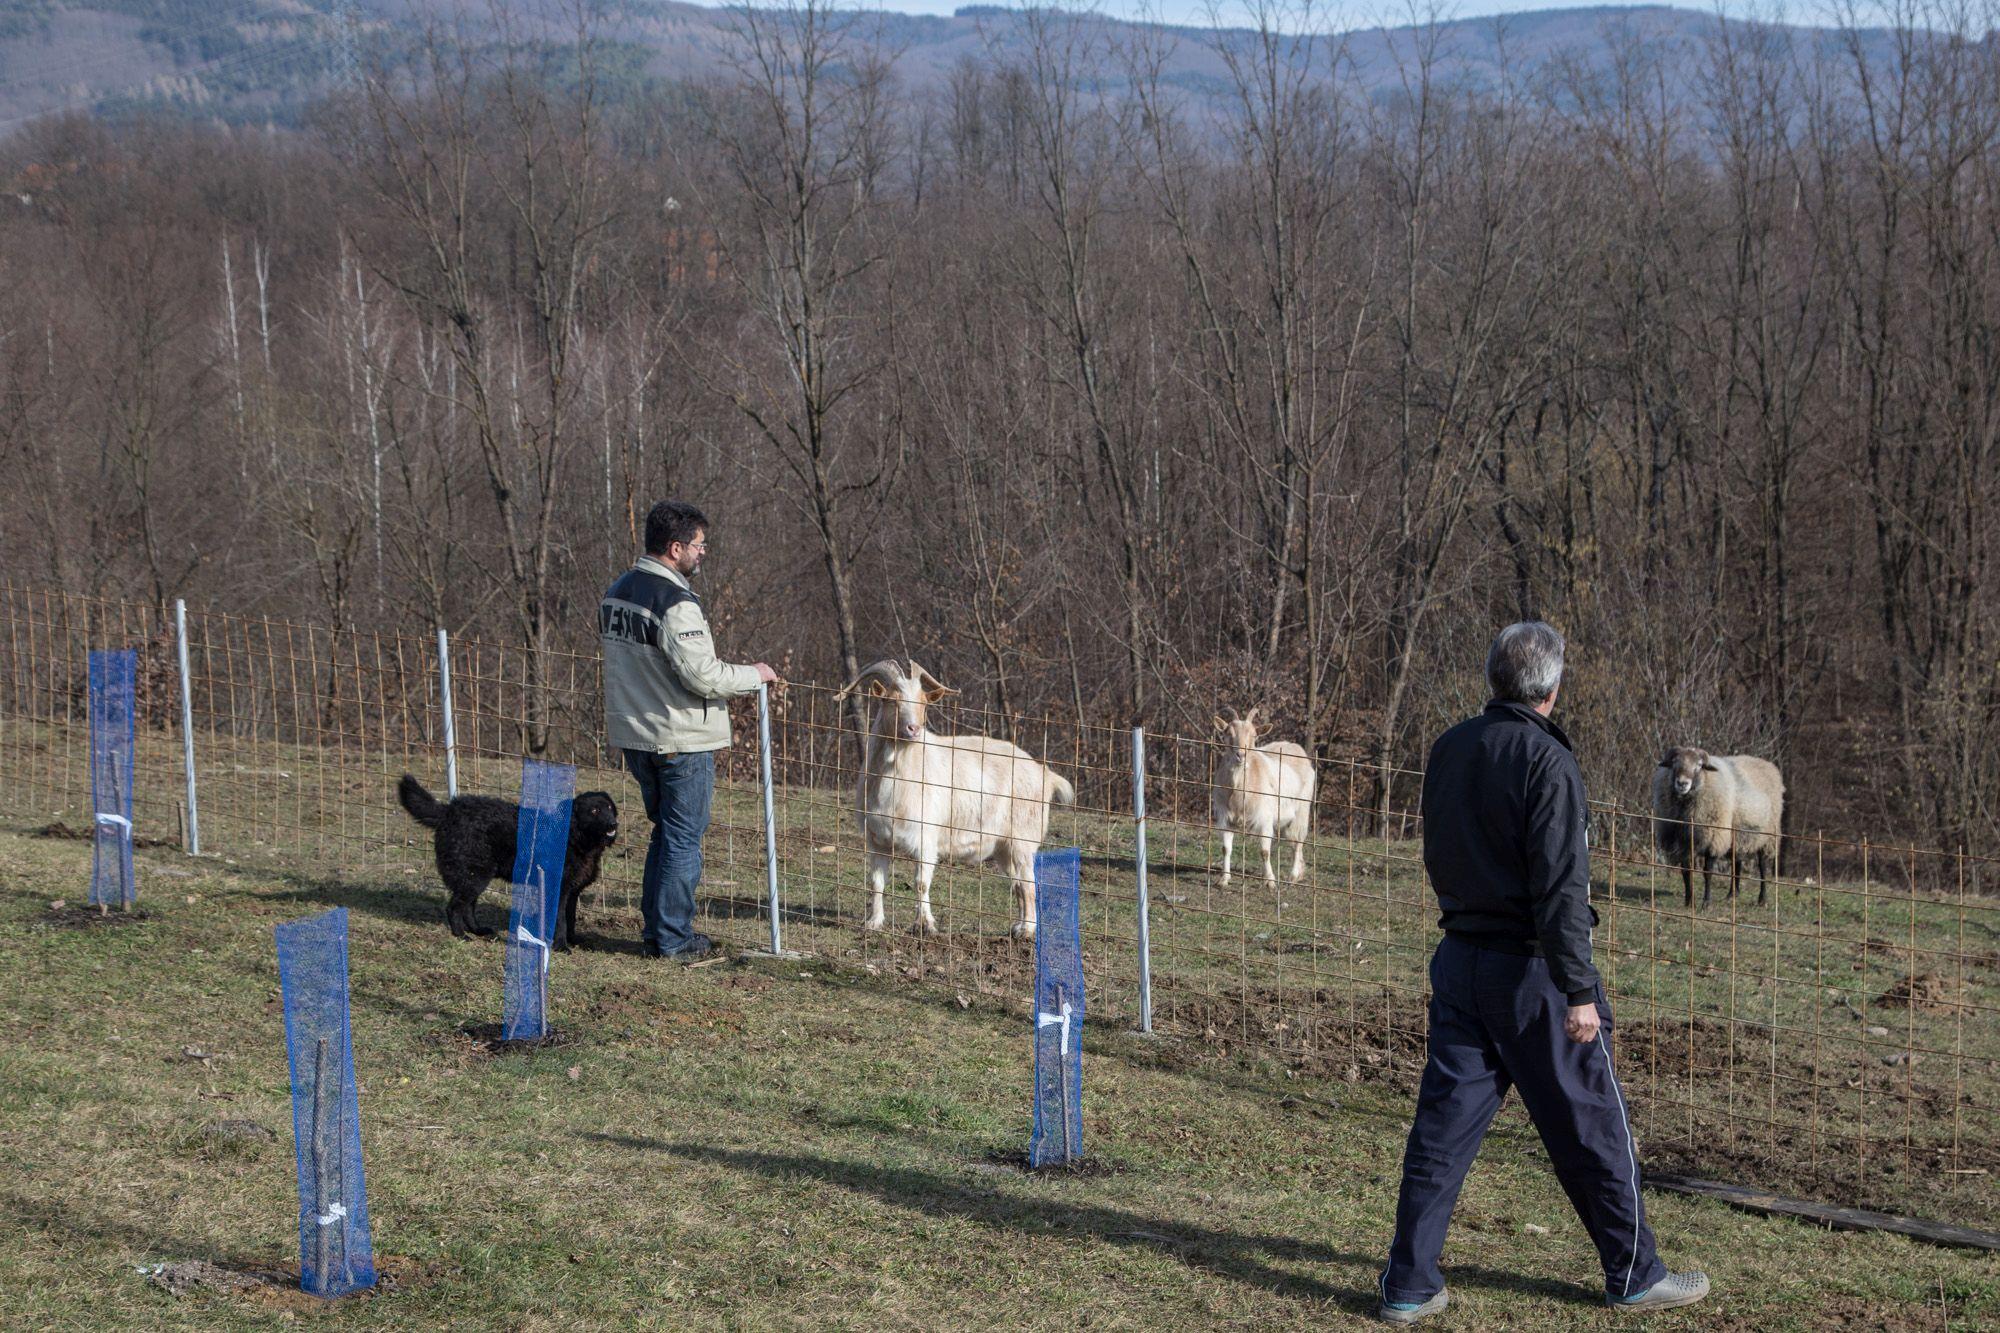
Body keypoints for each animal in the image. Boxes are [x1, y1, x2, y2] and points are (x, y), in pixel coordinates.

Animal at [396, 768, 616, 944]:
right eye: (594, 810)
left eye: (609, 808)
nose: (613, 824)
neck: (574, 835)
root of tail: (449, 810)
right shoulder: (558, 889)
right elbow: (560, 921)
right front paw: (561, 946)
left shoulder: (572, 891)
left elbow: (570, 919)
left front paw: (573, 941)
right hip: (474, 876)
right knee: (455, 908)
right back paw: (461, 935)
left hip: (475, 877)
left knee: (468, 907)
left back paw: (478, 931)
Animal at [832, 660, 1080, 932]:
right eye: (891, 700)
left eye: (923, 702)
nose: (913, 729)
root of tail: (1044, 774)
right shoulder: (877, 841)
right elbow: (876, 882)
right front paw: (874, 922)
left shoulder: (925, 840)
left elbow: (921, 883)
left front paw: (925, 925)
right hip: (1004, 847)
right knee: (1018, 885)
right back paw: (1018, 927)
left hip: (1023, 840)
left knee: (1028, 883)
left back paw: (1027, 931)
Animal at [1208, 704, 1320, 880]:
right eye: (1228, 734)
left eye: (1254, 735)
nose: (1240, 755)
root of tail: (1297, 748)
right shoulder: (1225, 816)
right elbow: (1226, 848)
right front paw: (1224, 879)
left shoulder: (1264, 817)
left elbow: (1265, 851)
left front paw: (1270, 880)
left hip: (1302, 809)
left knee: (1298, 841)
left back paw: (1293, 875)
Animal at [1648, 740, 1792, 908]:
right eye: (1674, 762)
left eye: (1699, 765)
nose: (1682, 783)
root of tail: (1768, 764)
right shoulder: (1683, 841)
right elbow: (1686, 870)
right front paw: (1689, 902)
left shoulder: (1713, 837)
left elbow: (1708, 872)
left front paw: (1706, 903)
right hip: (1737, 833)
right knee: (1737, 861)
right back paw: (1732, 894)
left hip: (1767, 835)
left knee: (1762, 865)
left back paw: (1762, 899)